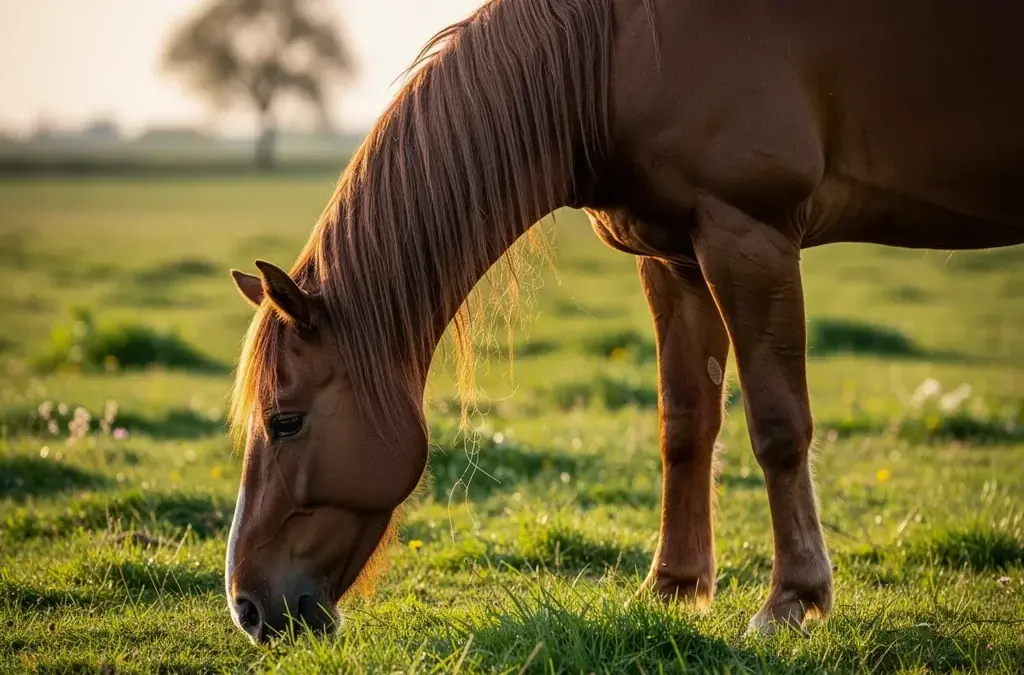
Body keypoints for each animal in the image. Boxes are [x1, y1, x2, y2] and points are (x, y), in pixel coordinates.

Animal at [222, 0, 1024, 644]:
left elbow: (778, 426)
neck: (618, 55)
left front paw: (790, 601)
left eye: (285, 421)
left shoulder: (750, 236)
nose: (248, 608)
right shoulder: (676, 257)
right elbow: (685, 424)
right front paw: (672, 587)